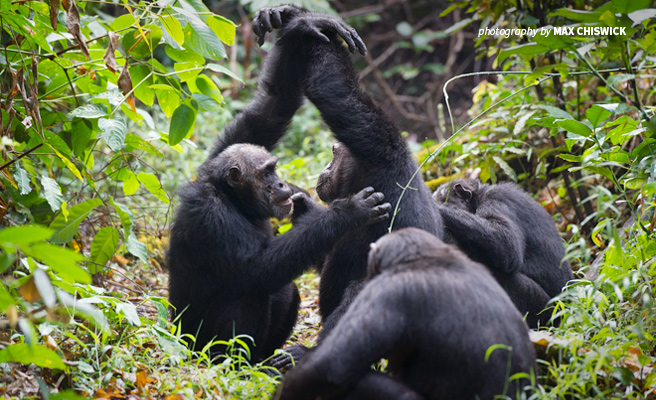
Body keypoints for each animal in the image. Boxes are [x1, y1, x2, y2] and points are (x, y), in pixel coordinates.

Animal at [167, 13, 392, 362]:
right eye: (266, 173)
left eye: (273, 168)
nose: (281, 182)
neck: (233, 199)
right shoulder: (210, 215)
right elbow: (257, 269)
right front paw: (347, 213)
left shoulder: (219, 154)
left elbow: (272, 107)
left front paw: (302, 23)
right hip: (197, 346)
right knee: (249, 292)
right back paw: (235, 363)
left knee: (287, 289)